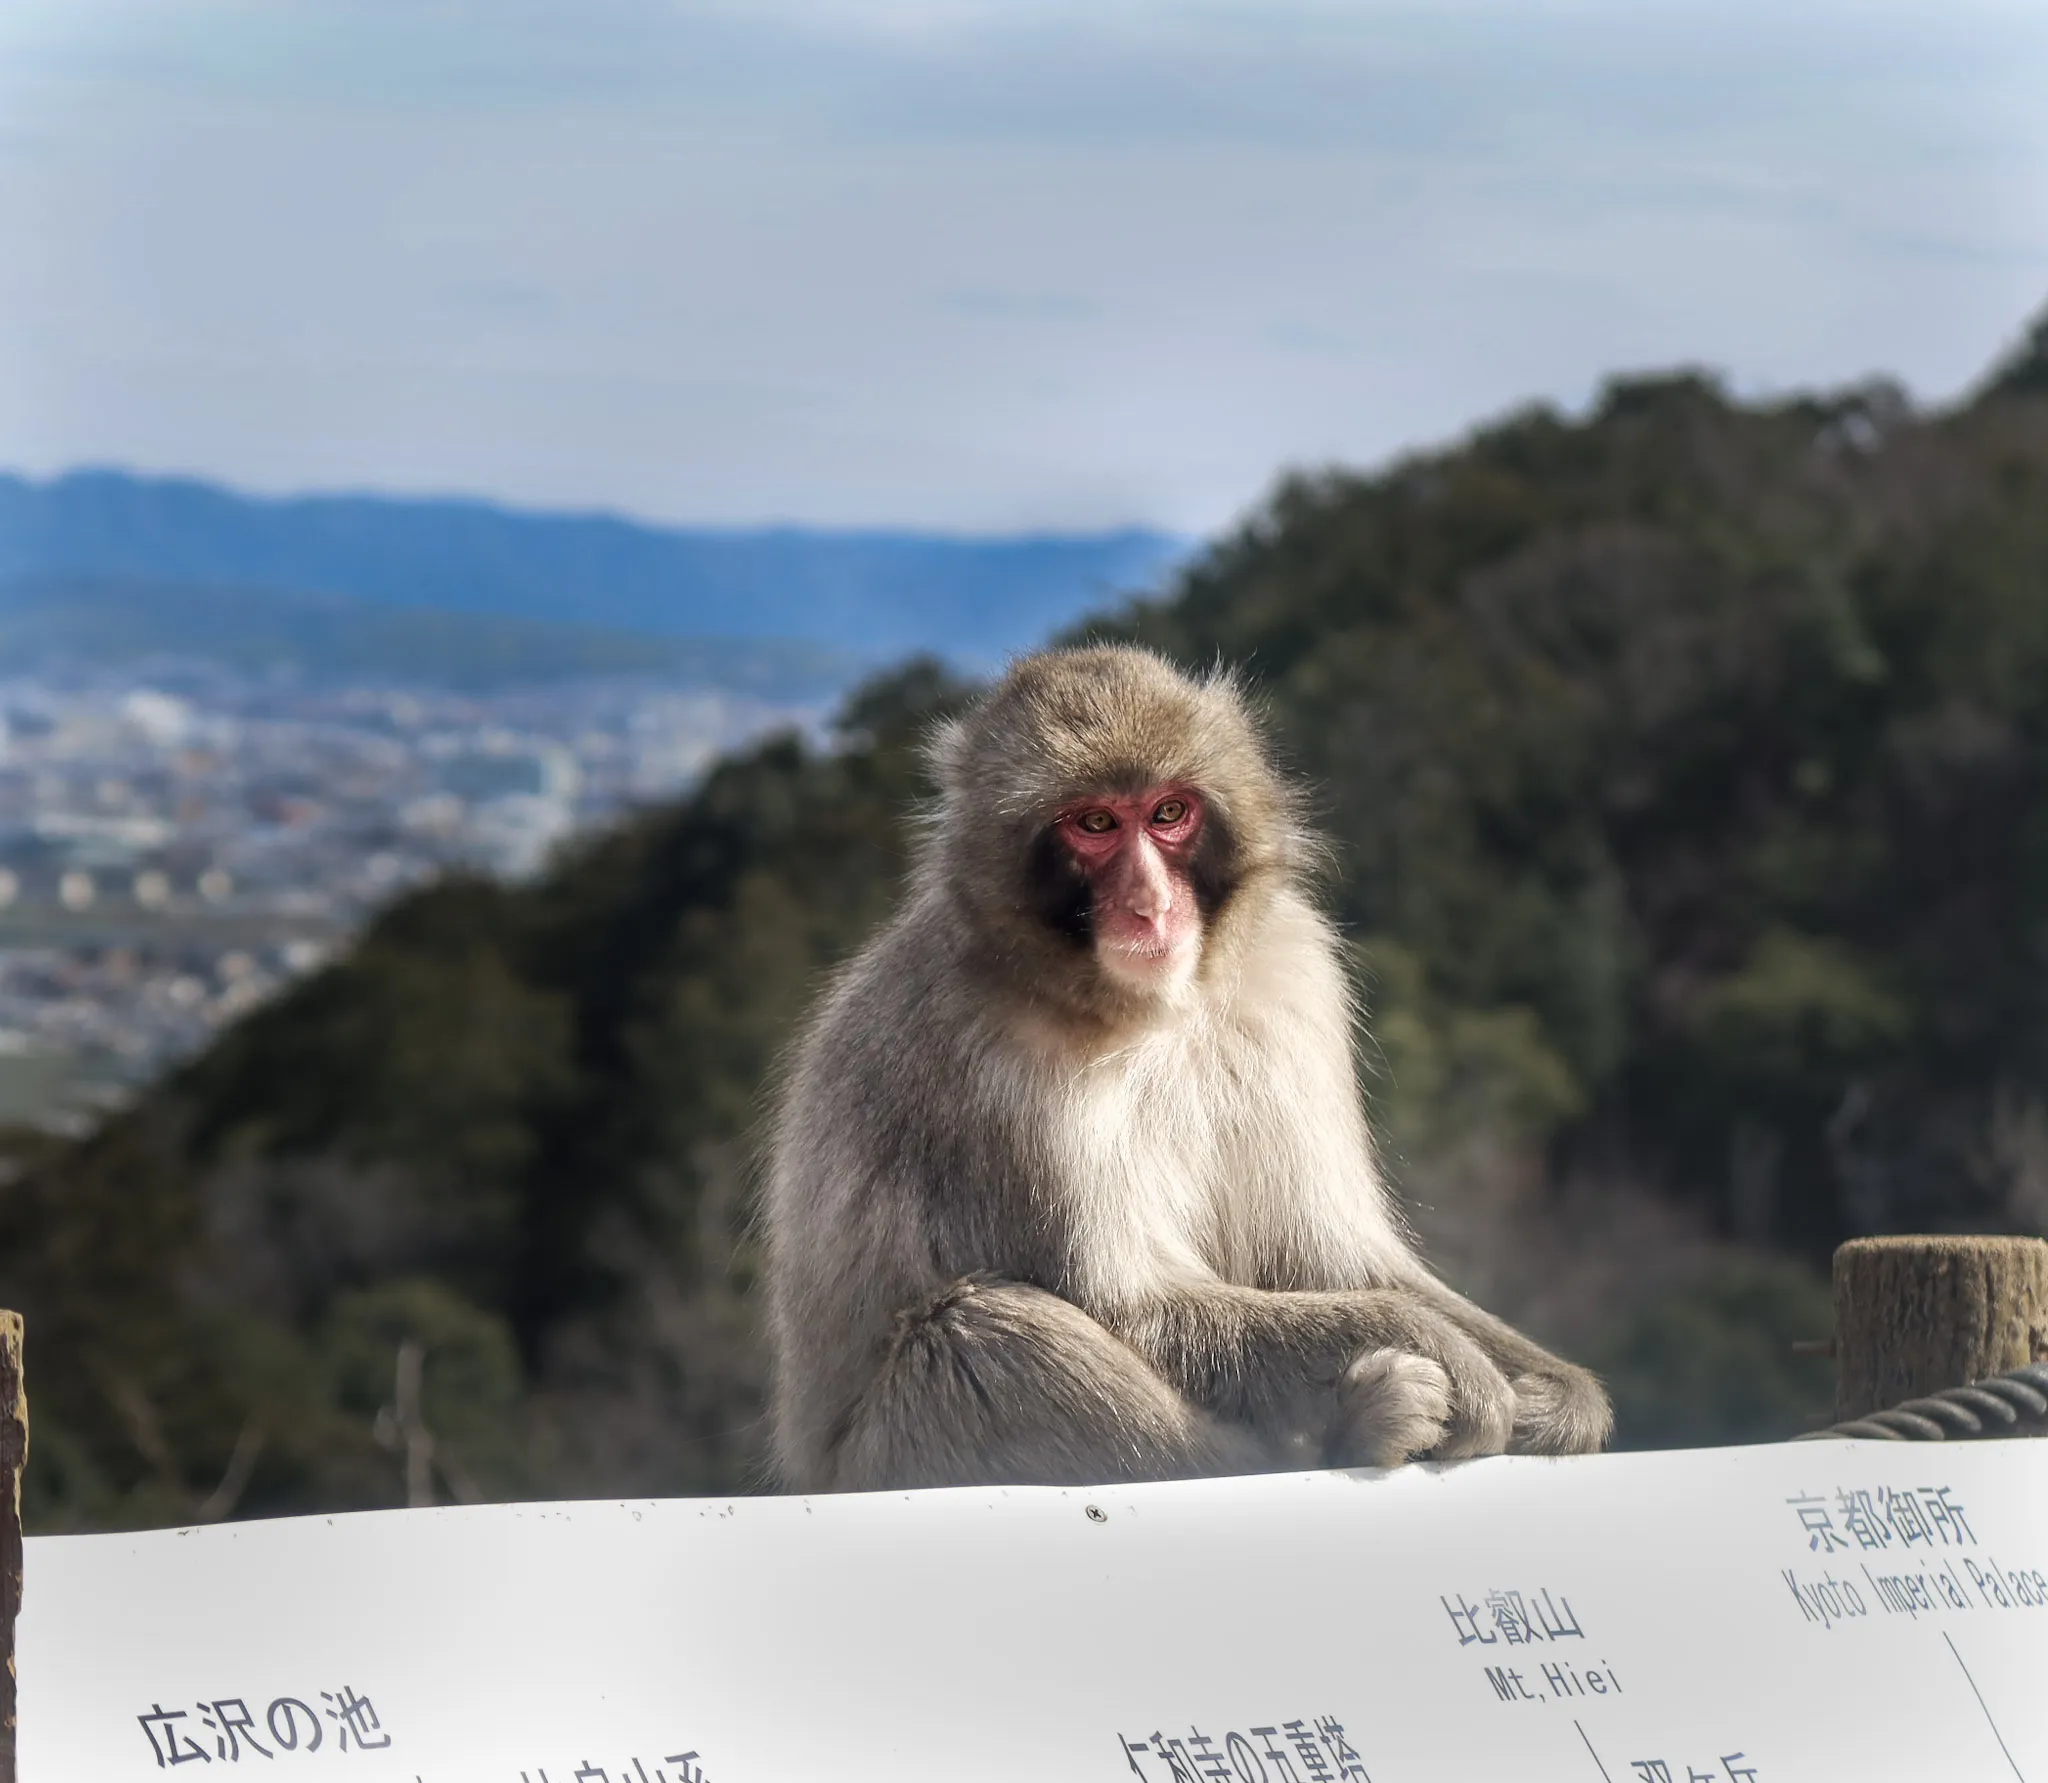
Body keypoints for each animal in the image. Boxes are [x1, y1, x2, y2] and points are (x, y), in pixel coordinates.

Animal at [763, 645, 1611, 1492]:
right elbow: (1133, 1305)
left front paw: (1561, 1396)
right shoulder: (986, 1064)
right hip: (886, 1455)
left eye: (1169, 813)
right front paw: (1440, 1350)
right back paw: (1349, 1431)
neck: (1148, 1007)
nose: (1150, 903)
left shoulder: (1294, 973)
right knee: (980, 1336)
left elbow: (1326, 1254)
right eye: (1095, 823)